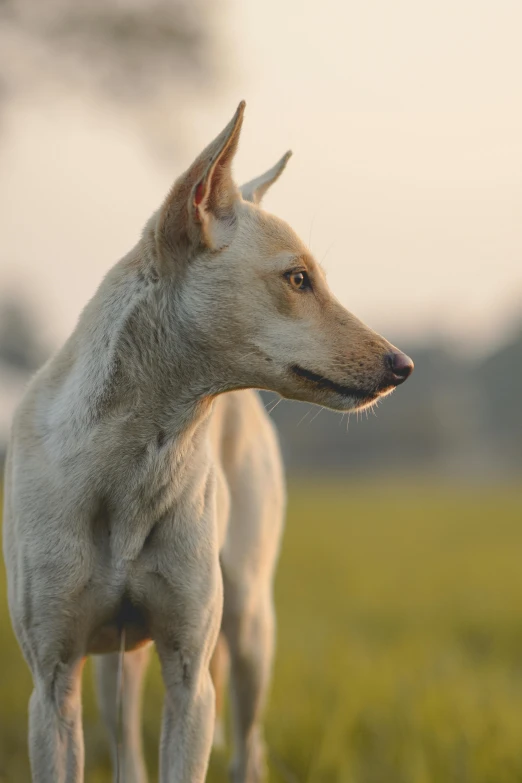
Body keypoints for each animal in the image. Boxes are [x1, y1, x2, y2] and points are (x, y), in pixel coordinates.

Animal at [2, 102, 412, 783]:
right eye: (298, 279)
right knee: (128, 750)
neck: (129, 463)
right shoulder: (54, 682)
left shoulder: (192, 679)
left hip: (248, 628)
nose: (403, 365)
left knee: (250, 750)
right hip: (115, 667)